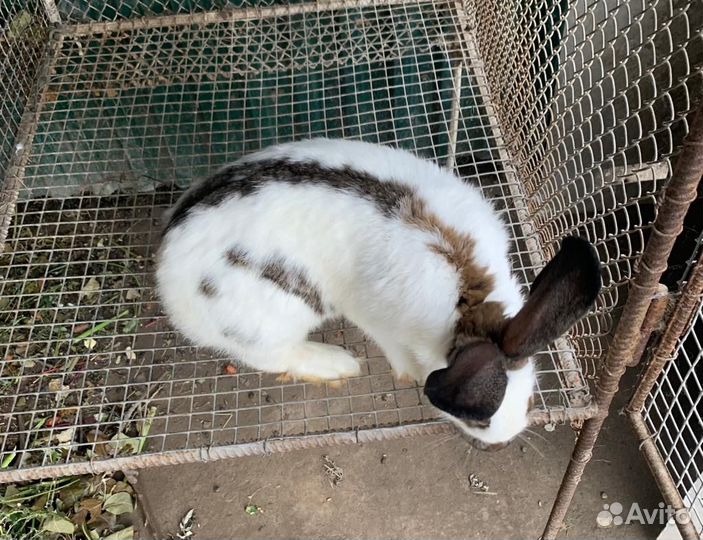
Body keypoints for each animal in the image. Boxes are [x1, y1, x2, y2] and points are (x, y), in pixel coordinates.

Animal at [155, 138, 601, 449]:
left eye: (530, 400)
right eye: (477, 420)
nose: (501, 444)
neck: (468, 300)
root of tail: (167, 275)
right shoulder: (376, 316)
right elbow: (396, 349)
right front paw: (409, 372)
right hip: (271, 319)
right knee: (270, 355)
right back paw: (336, 364)